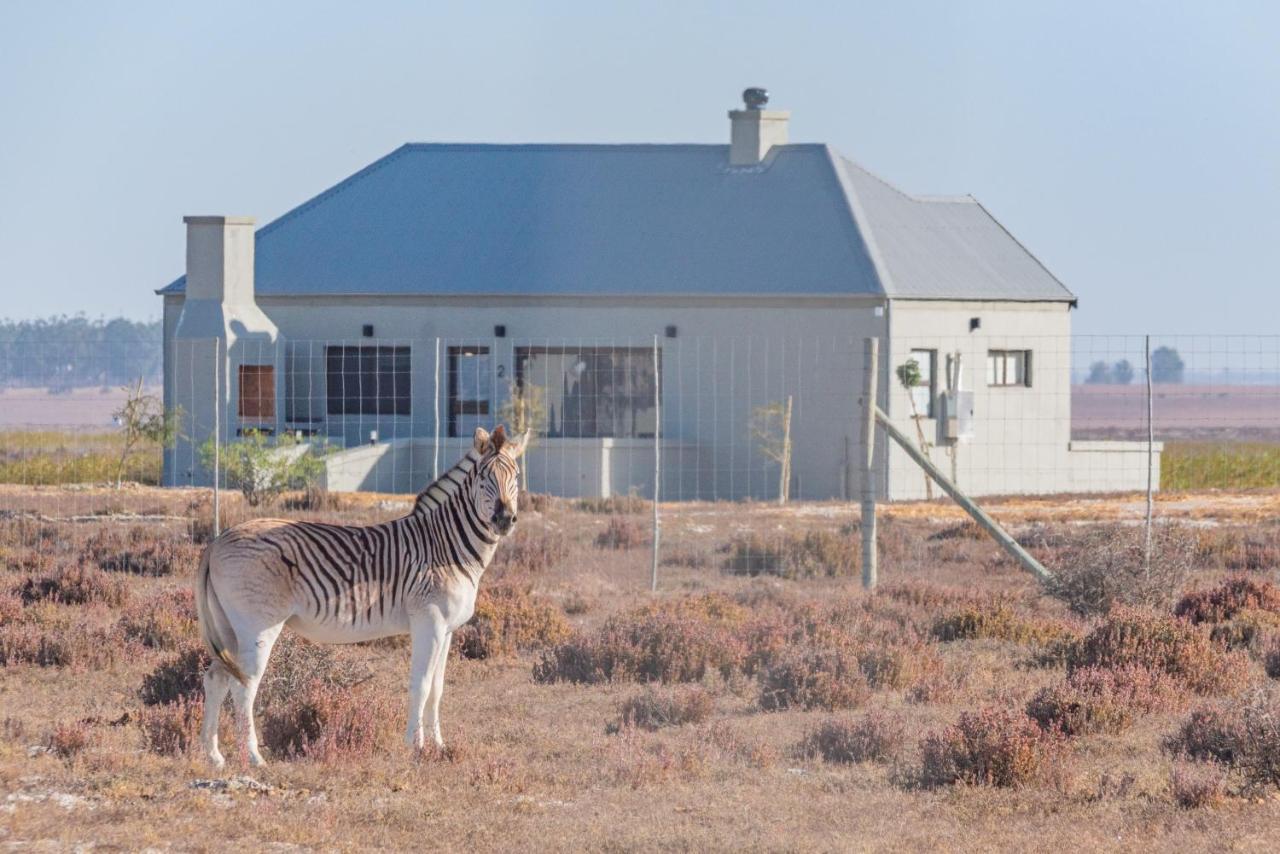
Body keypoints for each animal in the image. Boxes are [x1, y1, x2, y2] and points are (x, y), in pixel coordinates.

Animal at [194, 425, 524, 763]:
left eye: (516, 475)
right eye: (483, 477)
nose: (504, 519)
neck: (446, 545)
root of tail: (218, 541)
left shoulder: (446, 630)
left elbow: (437, 688)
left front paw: (440, 747)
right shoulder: (428, 621)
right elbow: (420, 684)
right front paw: (416, 747)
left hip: (227, 626)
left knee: (216, 679)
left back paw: (214, 756)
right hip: (257, 626)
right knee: (243, 686)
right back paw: (253, 757)